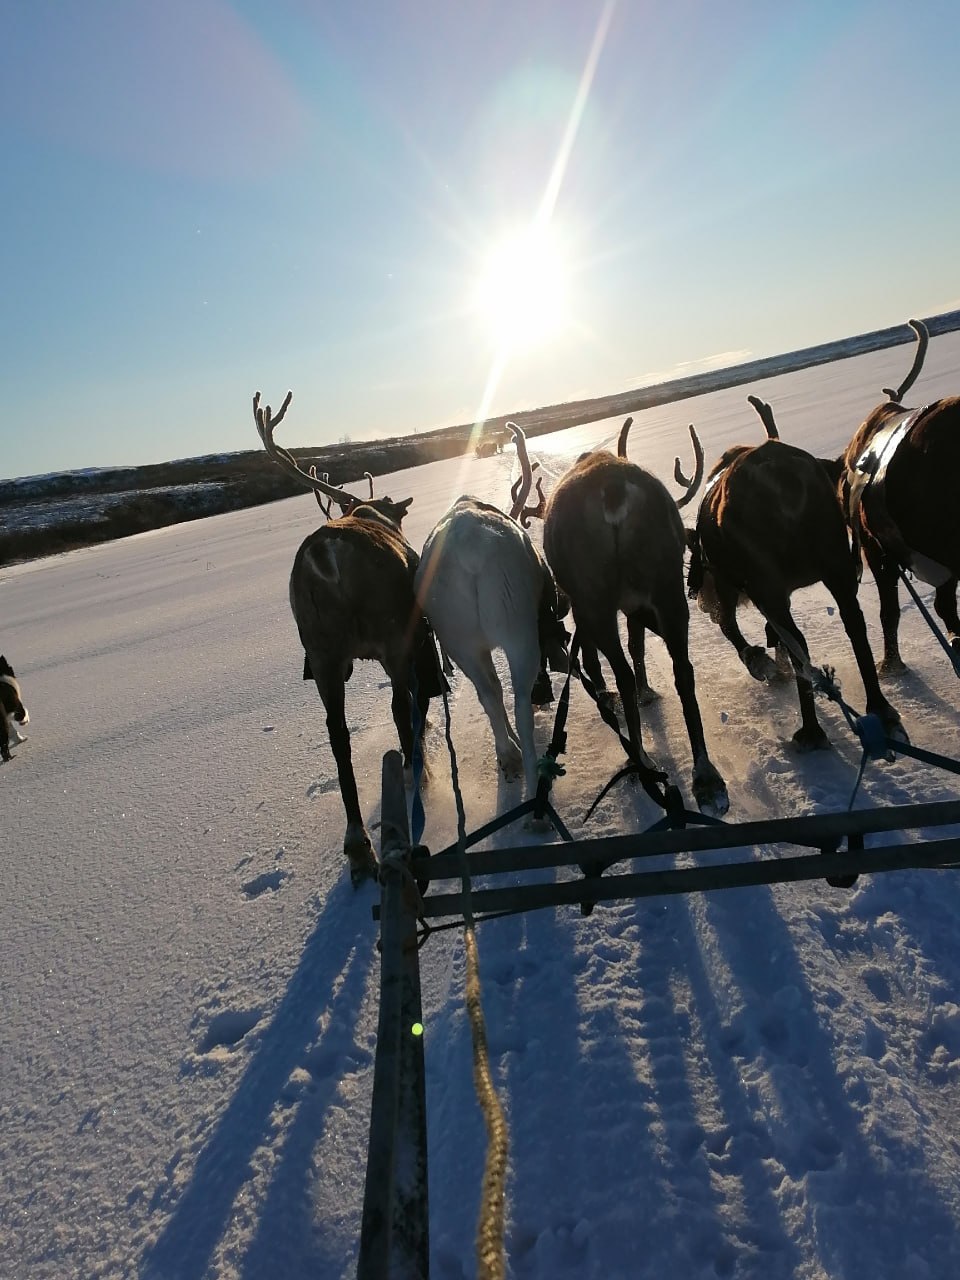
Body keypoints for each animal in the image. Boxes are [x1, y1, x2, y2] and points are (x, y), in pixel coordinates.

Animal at [254, 391, 443, 885]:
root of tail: (326, 556)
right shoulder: (408, 641)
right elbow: (414, 701)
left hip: (321, 654)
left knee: (337, 734)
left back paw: (359, 844)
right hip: (389, 636)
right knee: (398, 707)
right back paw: (417, 774)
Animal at [415, 424, 569, 800]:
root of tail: (469, 554)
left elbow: (493, 692)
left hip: (458, 637)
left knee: (489, 694)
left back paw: (509, 755)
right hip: (517, 627)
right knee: (520, 700)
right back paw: (534, 783)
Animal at [541, 422, 729, 817]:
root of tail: (611, 489)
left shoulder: (590, 607)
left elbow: (606, 655)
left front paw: (610, 692)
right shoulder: (636, 604)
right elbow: (639, 643)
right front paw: (648, 692)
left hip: (596, 598)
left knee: (623, 673)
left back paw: (639, 758)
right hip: (667, 584)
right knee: (683, 670)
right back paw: (706, 777)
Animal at [687, 395, 904, 751]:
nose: (700, 601)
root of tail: (782, 479)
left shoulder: (741, 587)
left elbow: (734, 629)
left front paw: (764, 665)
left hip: (770, 583)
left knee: (798, 642)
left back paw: (811, 730)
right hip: (836, 564)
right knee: (854, 623)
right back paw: (881, 709)